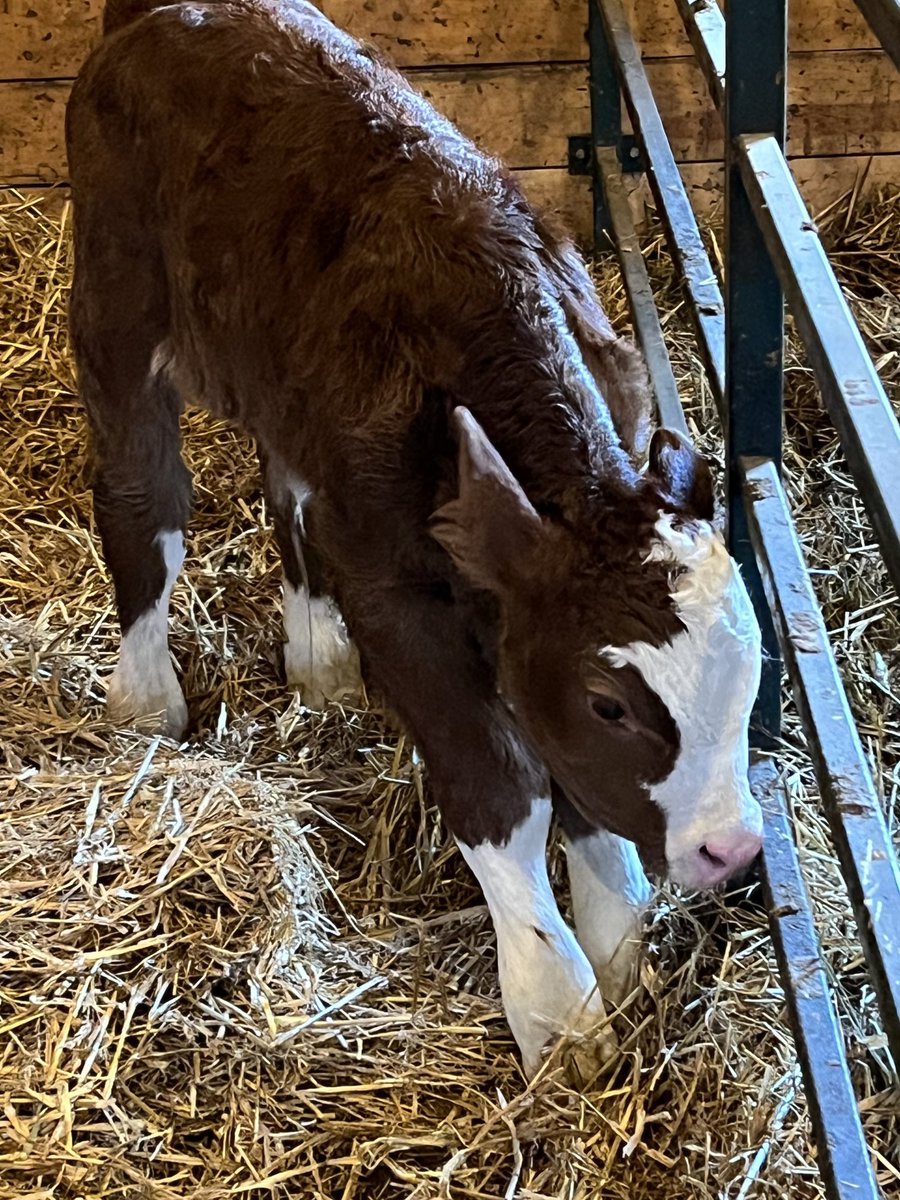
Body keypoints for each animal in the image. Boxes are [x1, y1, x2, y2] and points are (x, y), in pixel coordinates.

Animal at [66, 0, 764, 1079]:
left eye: (752, 663)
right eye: (610, 704)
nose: (731, 850)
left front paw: (619, 952)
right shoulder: (399, 600)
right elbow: (503, 789)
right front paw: (557, 1009)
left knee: (287, 483)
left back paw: (317, 659)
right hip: (116, 303)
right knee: (145, 497)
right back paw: (146, 700)